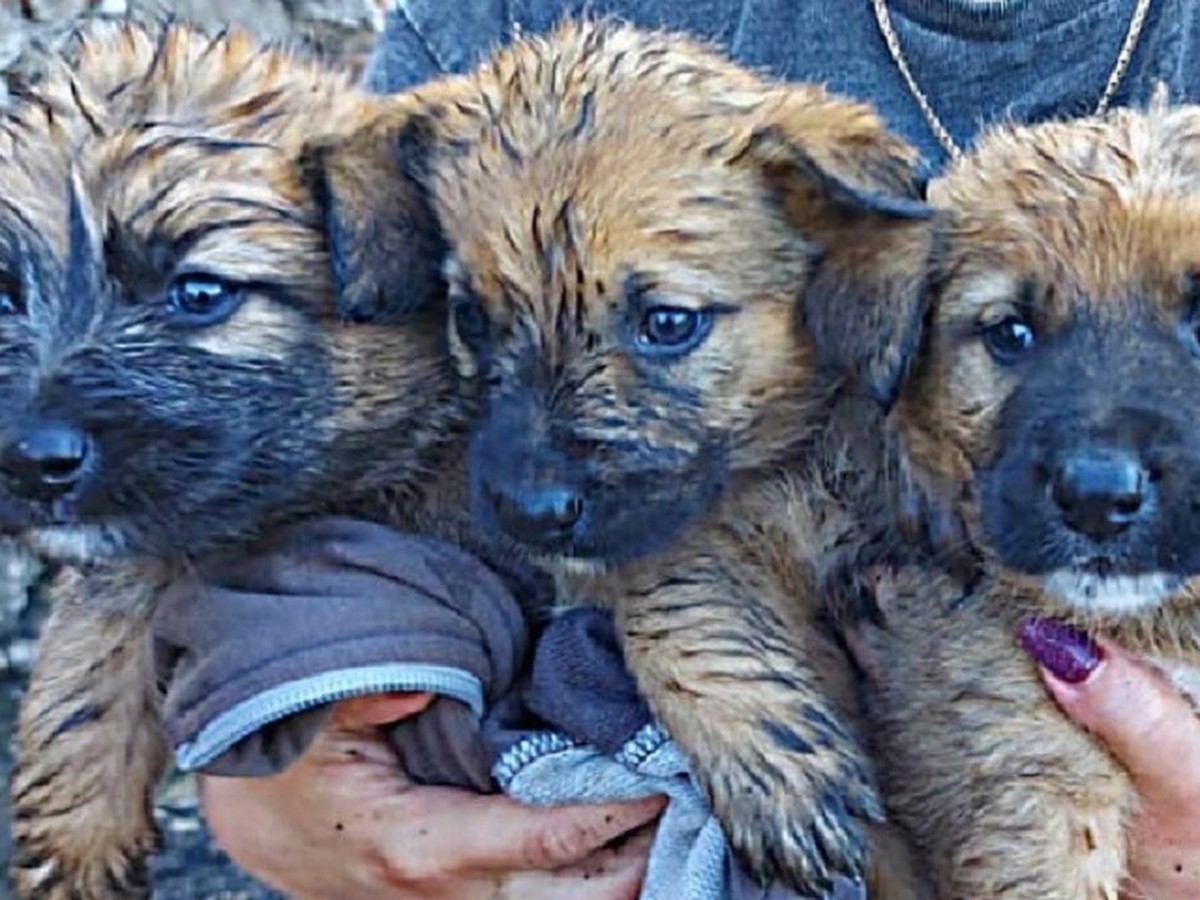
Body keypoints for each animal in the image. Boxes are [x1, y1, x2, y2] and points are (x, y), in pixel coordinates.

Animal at [338, 17, 936, 897]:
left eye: (669, 323)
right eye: (470, 319)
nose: (529, 513)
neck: (786, 460)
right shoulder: (681, 536)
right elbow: (671, 607)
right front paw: (773, 763)